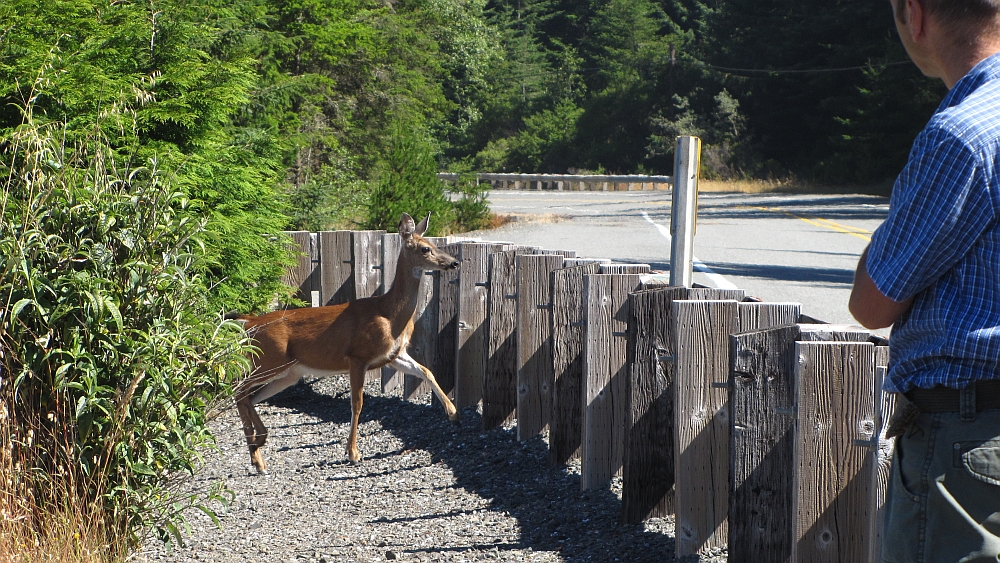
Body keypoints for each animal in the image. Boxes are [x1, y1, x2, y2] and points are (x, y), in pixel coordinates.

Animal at [228, 214, 460, 474]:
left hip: (288, 372)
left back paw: (258, 454)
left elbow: (427, 371)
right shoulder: (358, 355)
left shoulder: (393, 355)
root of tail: (250, 322)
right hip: (270, 359)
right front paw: (353, 453)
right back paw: (258, 449)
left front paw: (453, 414)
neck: (389, 314)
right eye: (425, 248)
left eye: (435, 244)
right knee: (238, 390)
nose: (454, 263)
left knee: (249, 397)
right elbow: (357, 404)